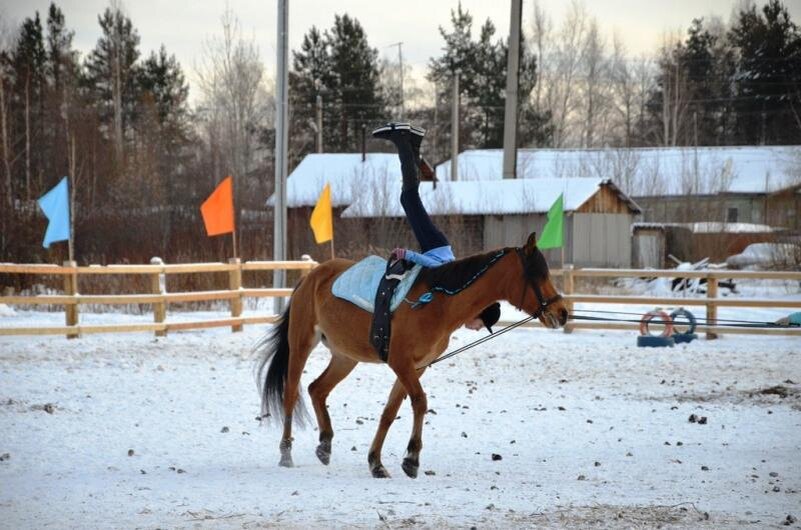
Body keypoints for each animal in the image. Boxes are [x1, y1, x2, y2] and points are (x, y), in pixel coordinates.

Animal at [256, 230, 568, 474]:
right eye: (538, 274)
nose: (562, 313)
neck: (438, 301)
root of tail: (311, 277)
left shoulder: (415, 366)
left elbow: (390, 411)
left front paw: (376, 462)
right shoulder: (401, 362)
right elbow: (419, 401)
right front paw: (412, 459)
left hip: (345, 356)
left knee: (317, 389)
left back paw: (325, 444)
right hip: (301, 345)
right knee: (292, 392)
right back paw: (286, 452)